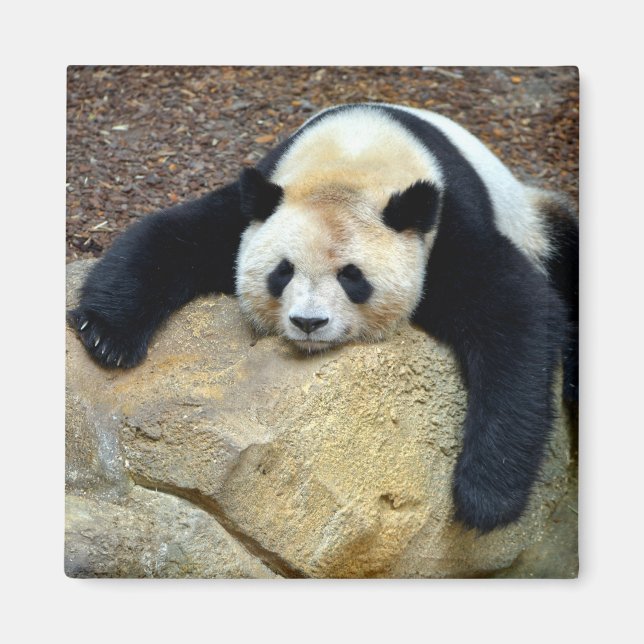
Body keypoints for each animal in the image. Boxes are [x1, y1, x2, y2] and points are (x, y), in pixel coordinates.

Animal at [68, 103, 578, 533]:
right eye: (282, 271)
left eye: (352, 277)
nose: (308, 323)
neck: (355, 154)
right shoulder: (260, 201)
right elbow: (174, 236)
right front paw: (106, 335)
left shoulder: (447, 226)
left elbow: (515, 312)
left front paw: (486, 497)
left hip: (534, 220)